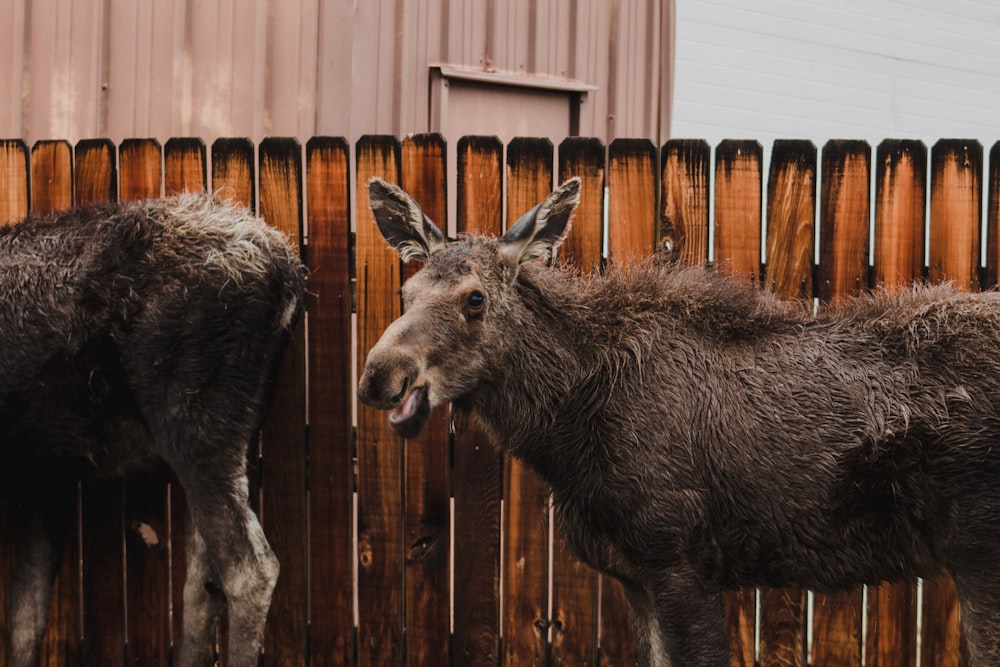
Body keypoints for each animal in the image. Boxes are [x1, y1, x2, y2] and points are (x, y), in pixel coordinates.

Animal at [0, 193, 304, 667]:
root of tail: (286, 273)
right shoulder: (42, 476)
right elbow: (26, 617)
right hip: (231, 435)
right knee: (202, 583)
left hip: (195, 425)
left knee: (250, 569)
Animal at [360, 179, 1000, 667]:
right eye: (406, 290)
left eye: (474, 299)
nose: (379, 373)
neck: (566, 434)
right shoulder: (635, 578)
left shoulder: (680, 560)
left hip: (978, 550)